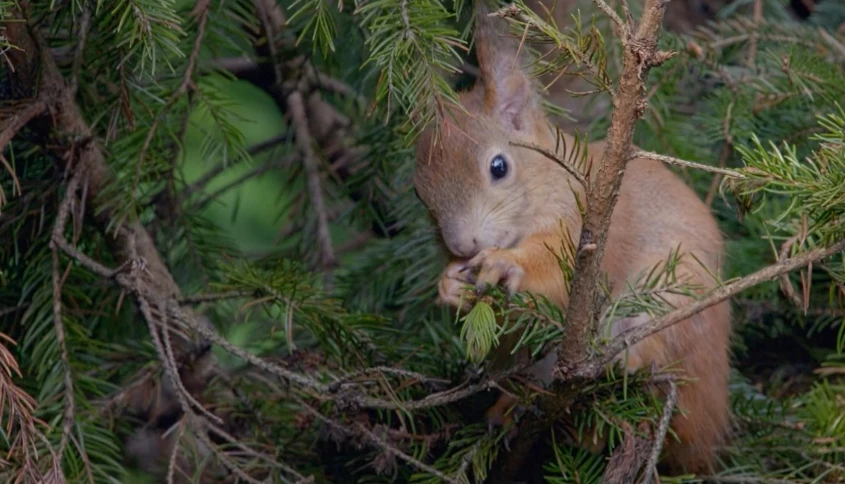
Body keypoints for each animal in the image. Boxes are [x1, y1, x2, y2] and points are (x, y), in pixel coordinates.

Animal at [414, 0, 732, 474]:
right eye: (420, 193)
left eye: (499, 167)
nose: (463, 245)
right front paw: (450, 284)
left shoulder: (586, 236)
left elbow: (555, 277)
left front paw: (507, 263)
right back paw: (512, 408)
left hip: (674, 305)